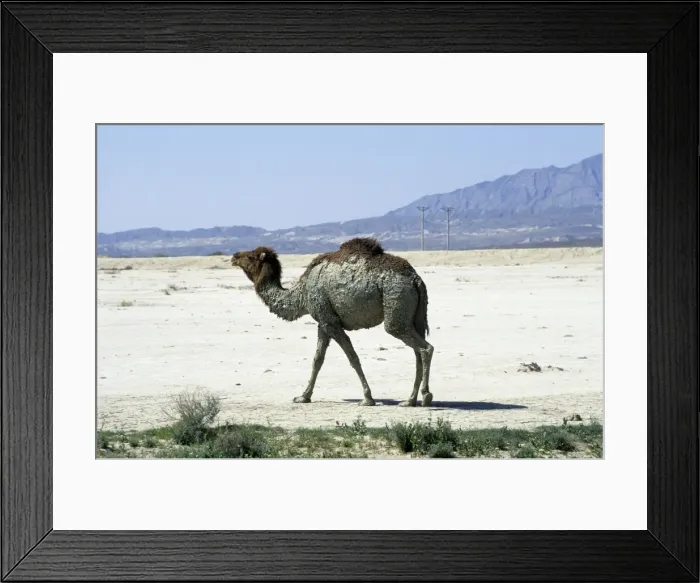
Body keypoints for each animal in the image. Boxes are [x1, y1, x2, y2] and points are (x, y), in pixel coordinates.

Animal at [230, 237, 434, 407]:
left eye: (250, 256)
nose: (234, 256)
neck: (302, 292)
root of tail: (416, 280)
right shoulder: (323, 322)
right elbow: (317, 360)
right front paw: (303, 396)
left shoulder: (330, 322)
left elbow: (352, 357)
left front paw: (367, 398)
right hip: (413, 316)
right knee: (418, 351)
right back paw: (410, 400)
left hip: (395, 301)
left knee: (424, 348)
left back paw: (425, 397)